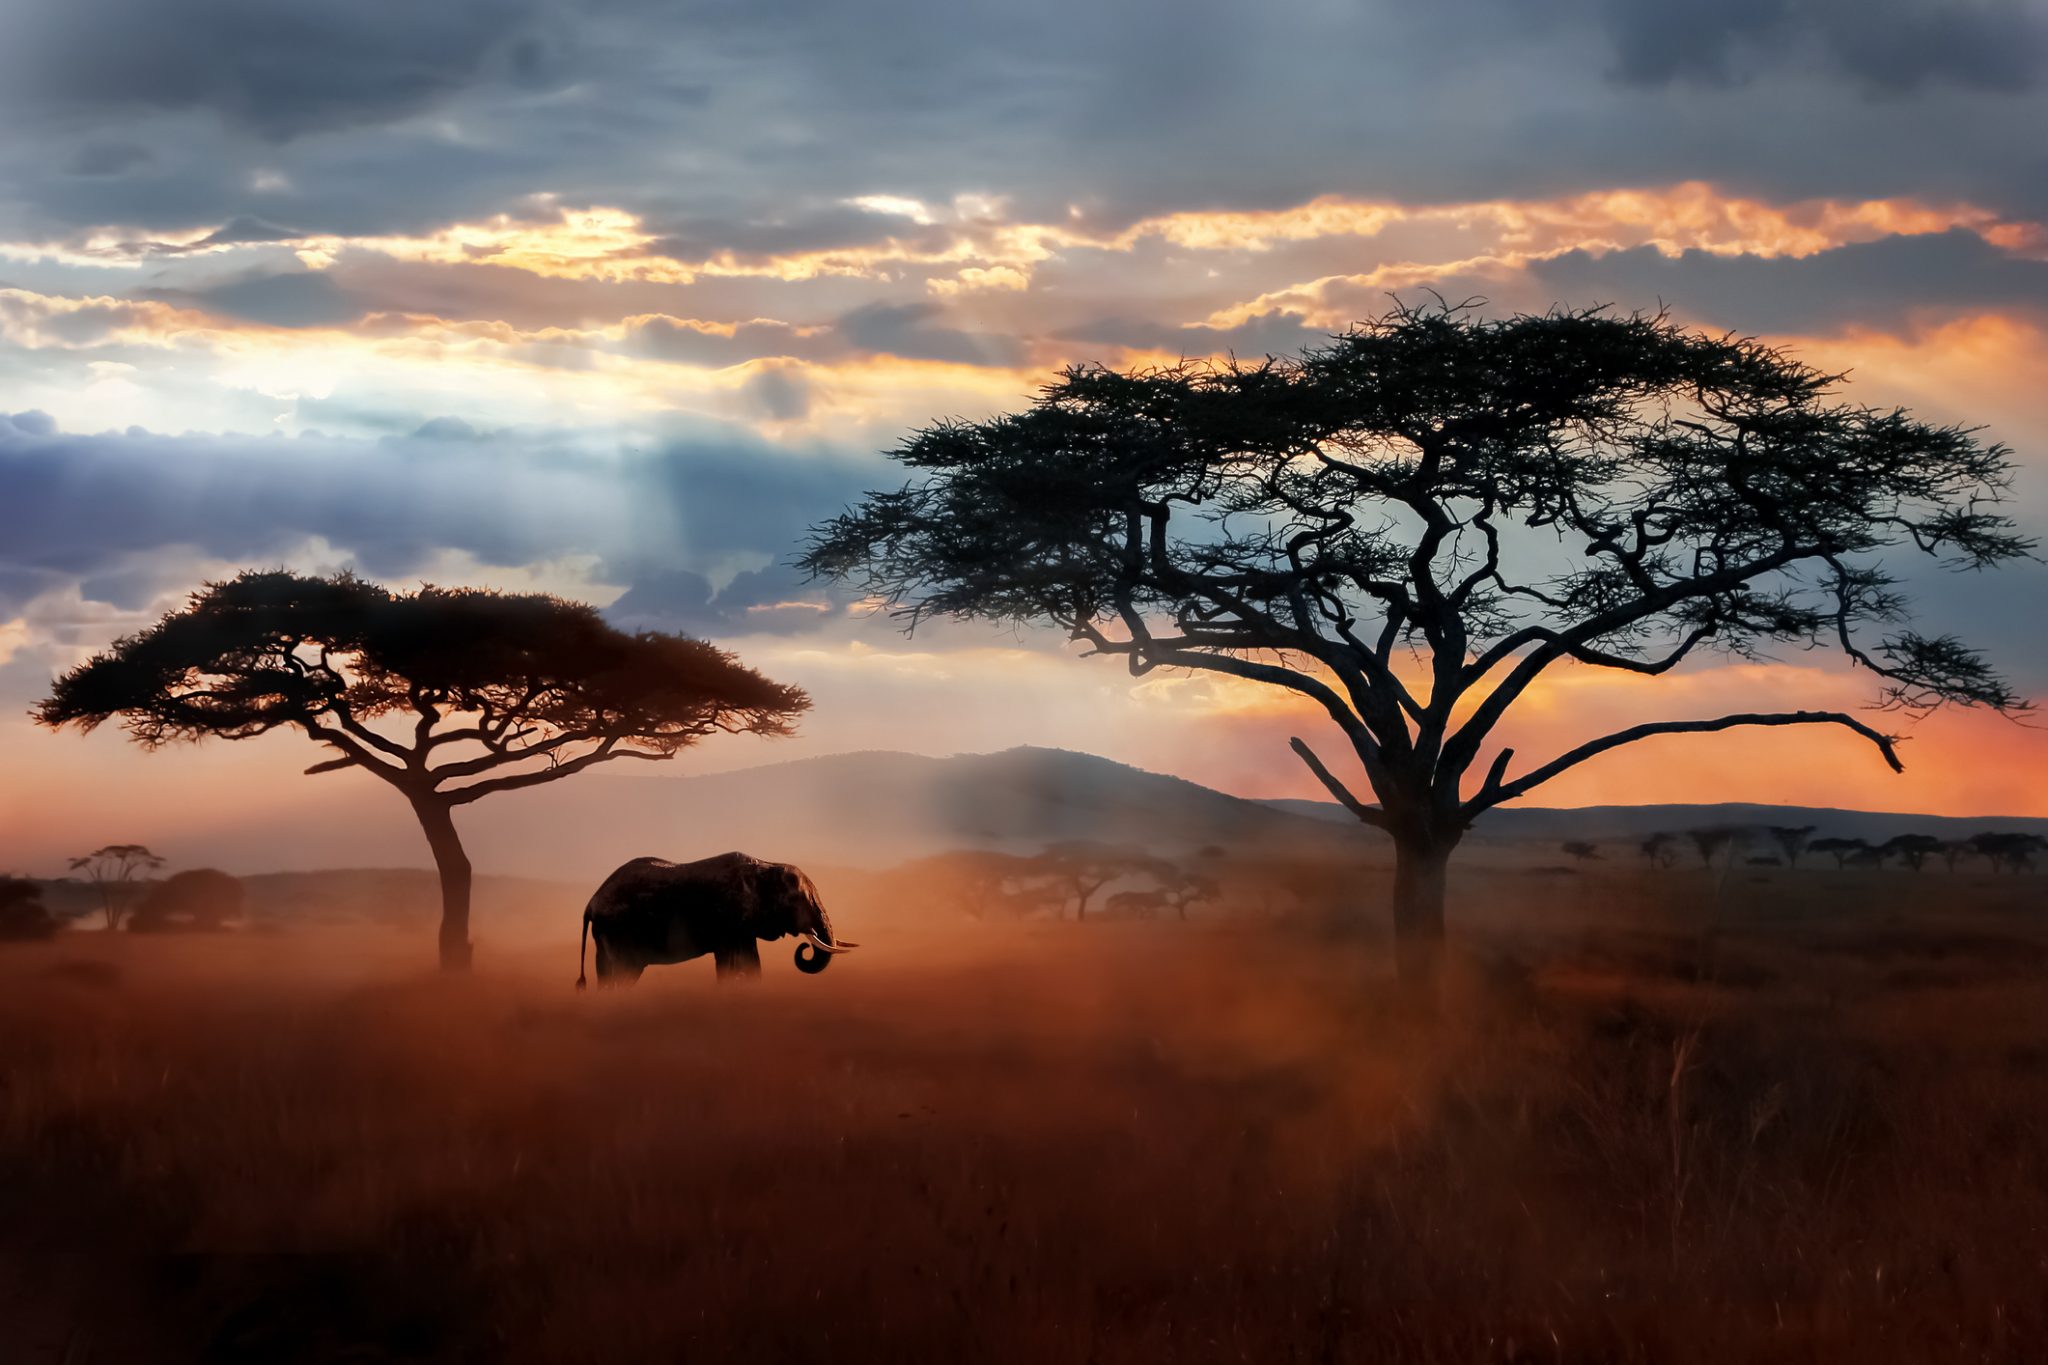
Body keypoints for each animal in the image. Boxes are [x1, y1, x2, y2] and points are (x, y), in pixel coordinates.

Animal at [577, 847, 856, 986]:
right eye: (797, 899)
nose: (804, 947)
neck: (766, 865)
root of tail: (590, 903)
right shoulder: (729, 918)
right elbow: (730, 963)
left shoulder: (744, 926)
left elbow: (752, 965)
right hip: (618, 930)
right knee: (621, 973)